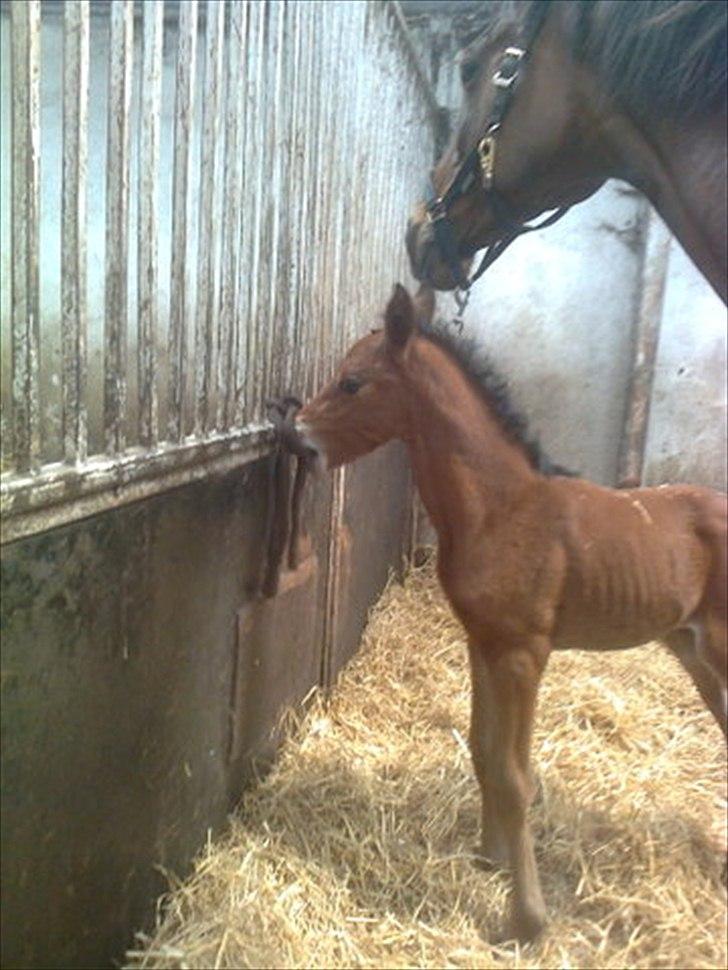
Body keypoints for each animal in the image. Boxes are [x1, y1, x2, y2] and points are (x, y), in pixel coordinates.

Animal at [292, 284, 724, 940]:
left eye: (352, 382)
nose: (297, 439)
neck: (501, 509)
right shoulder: (483, 643)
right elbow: (484, 750)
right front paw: (489, 858)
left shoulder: (524, 653)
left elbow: (517, 775)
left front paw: (525, 920)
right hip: (696, 650)